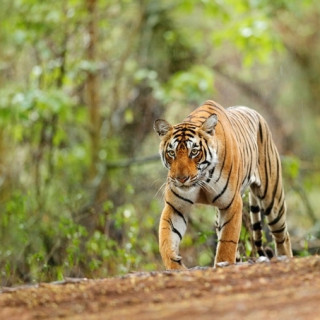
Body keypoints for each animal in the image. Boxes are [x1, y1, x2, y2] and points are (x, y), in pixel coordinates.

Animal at [154, 100, 292, 270]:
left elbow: (227, 243)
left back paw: (286, 260)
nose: (181, 179)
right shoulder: (175, 207)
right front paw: (175, 265)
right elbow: (166, 239)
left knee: (283, 236)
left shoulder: (232, 203)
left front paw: (223, 264)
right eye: (171, 153)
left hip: (272, 200)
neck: (202, 179)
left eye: (194, 152)